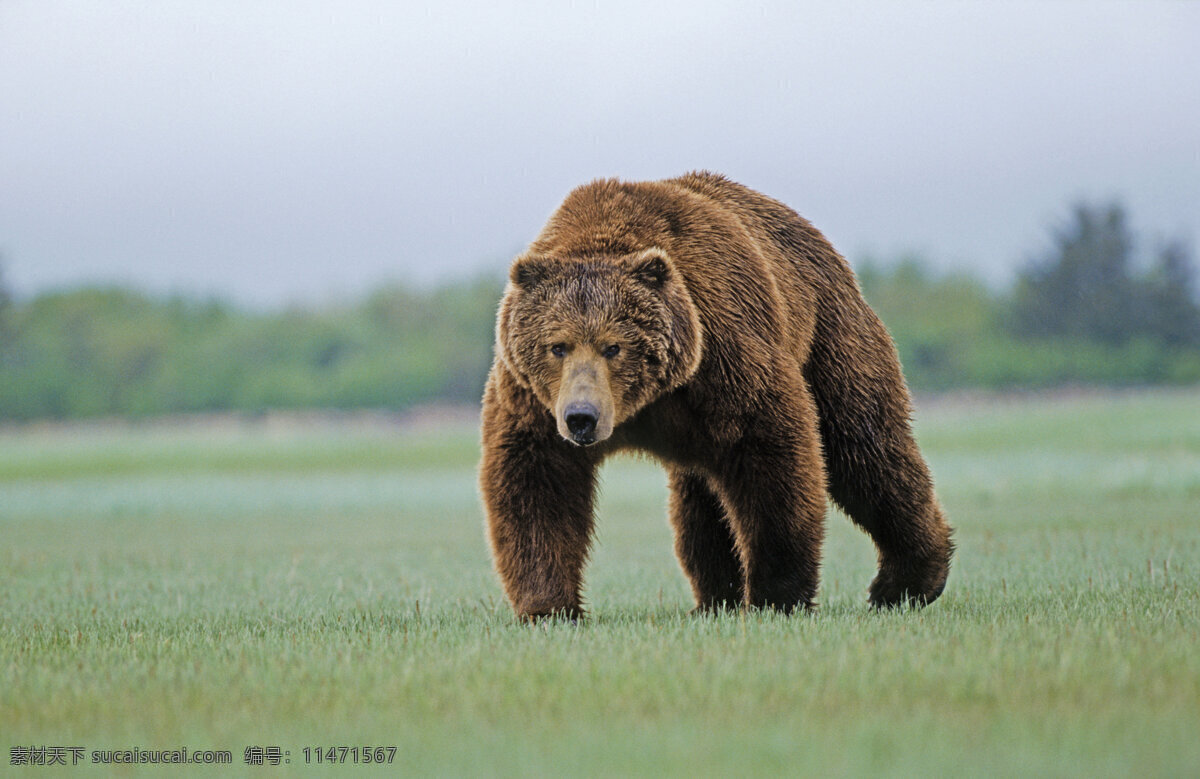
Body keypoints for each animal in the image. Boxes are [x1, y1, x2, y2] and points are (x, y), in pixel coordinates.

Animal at [477, 171, 955, 619]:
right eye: (557, 346)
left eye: (614, 346)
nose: (582, 417)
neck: (646, 403)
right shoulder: (533, 400)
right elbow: (537, 483)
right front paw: (549, 607)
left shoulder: (724, 355)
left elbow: (773, 458)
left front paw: (775, 596)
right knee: (700, 502)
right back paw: (714, 598)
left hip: (829, 335)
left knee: (864, 448)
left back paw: (906, 582)